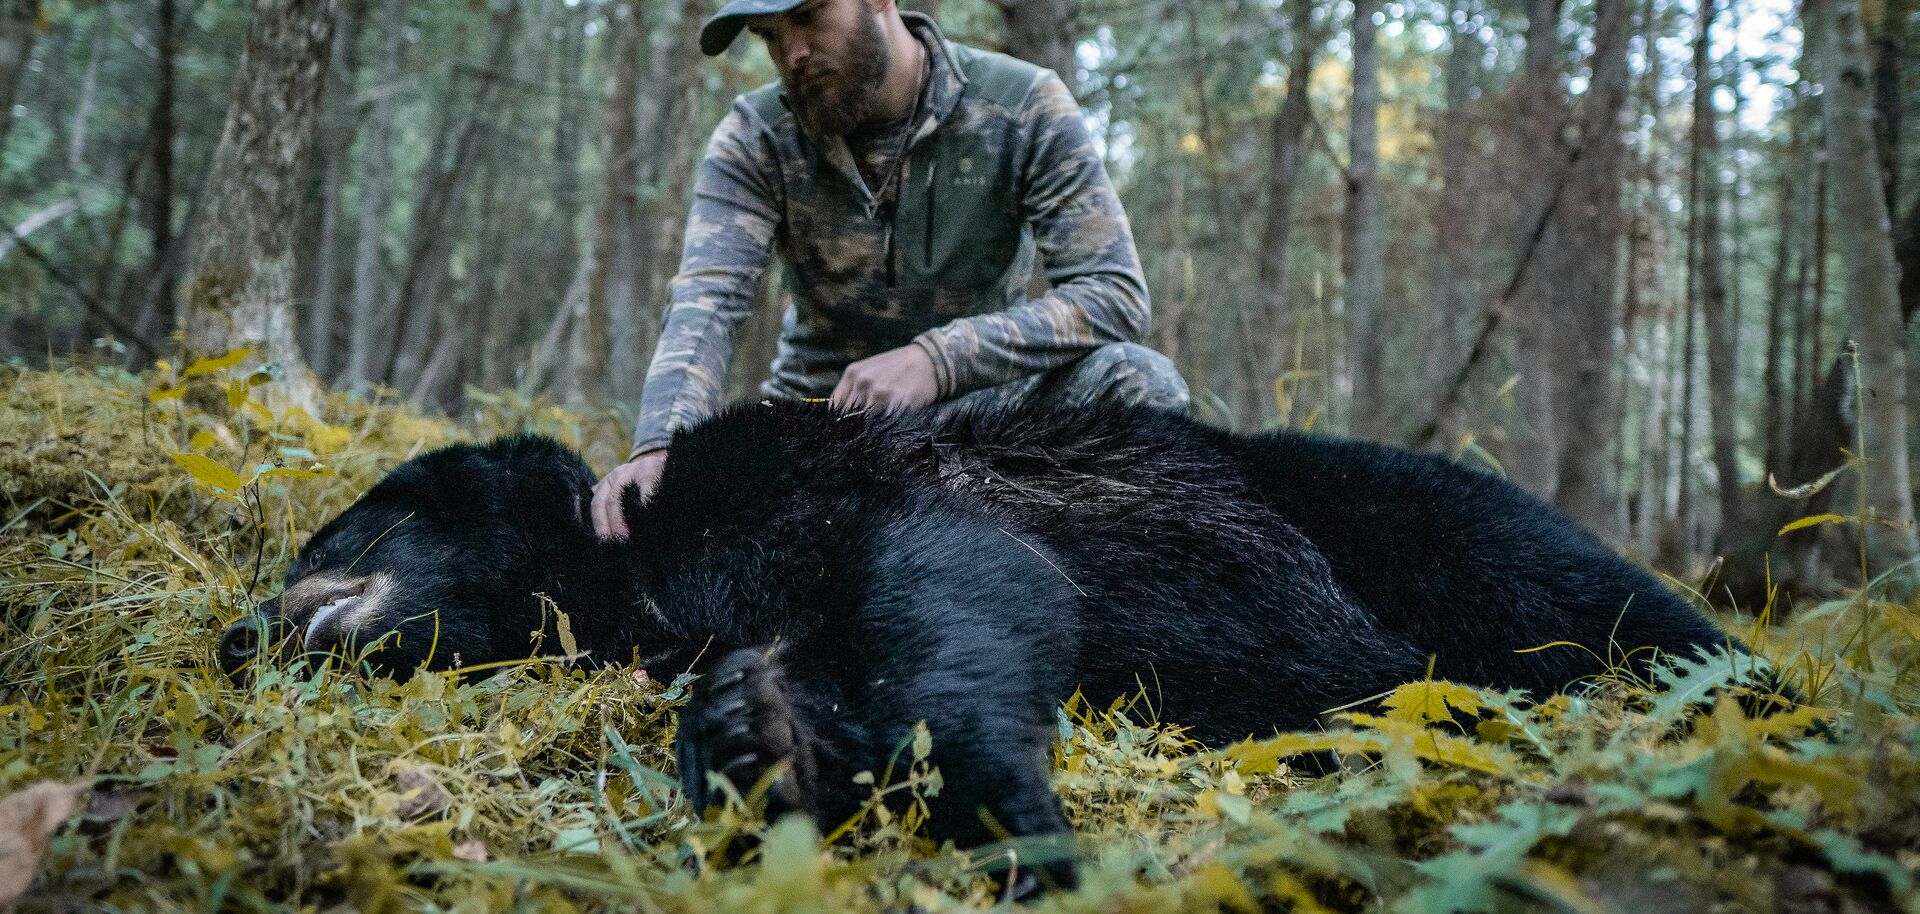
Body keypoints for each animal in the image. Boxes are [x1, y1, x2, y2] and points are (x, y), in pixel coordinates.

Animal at [218, 400, 1742, 890]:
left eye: (339, 525)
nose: (238, 630)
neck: (625, 558)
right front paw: (760, 737)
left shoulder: (787, 479)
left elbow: (967, 573)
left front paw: (1022, 822)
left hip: (1405, 516)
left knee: (1589, 596)